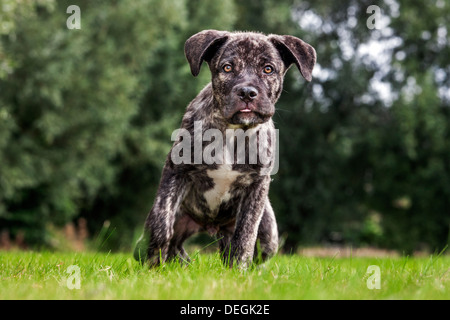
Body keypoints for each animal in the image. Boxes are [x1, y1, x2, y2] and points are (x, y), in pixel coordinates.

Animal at [134, 30, 316, 268]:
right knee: (172, 242)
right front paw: (154, 266)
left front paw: (238, 269)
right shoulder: (176, 171)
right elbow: (162, 223)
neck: (234, 131)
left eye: (268, 69)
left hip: (269, 234)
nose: (247, 92)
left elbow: (245, 234)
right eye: (227, 68)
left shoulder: (257, 186)